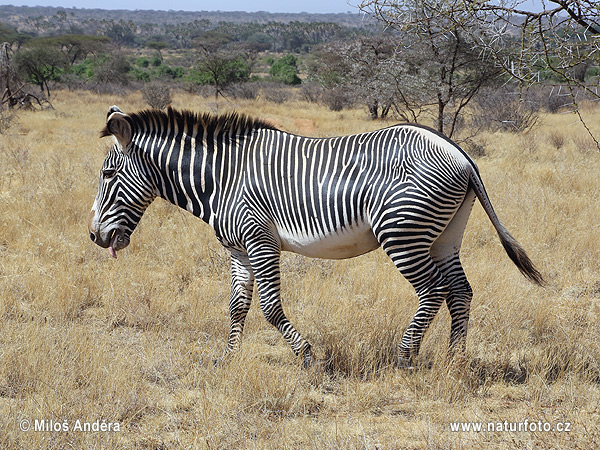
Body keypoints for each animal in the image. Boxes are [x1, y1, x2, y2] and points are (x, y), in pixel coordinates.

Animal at [89, 106, 544, 370]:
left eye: (108, 174)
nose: (94, 236)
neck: (221, 179)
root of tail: (460, 154)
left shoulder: (260, 239)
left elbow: (270, 307)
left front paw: (306, 356)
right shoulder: (237, 249)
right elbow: (237, 307)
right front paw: (228, 359)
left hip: (402, 232)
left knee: (434, 290)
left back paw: (405, 357)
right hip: (445, 234)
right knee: (460, 290)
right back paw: (455, 358)